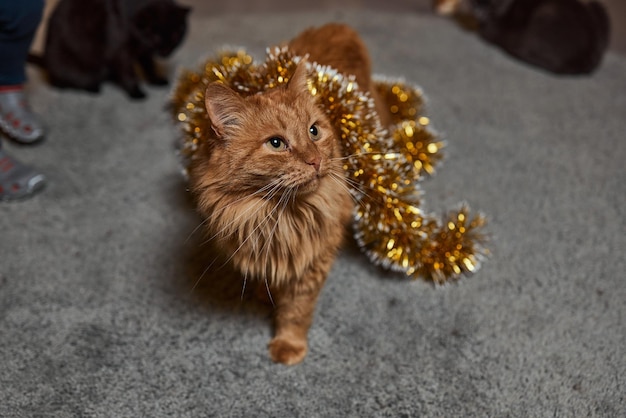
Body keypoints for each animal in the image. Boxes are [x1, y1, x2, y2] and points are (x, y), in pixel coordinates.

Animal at [188, 24, 380, 364]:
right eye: (276, 144)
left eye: (314, 131)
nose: (315, 161)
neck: (278, 216)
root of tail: (340, 28)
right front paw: (264, 296)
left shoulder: (313, 262)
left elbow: (295, 311)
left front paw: (288, 345)